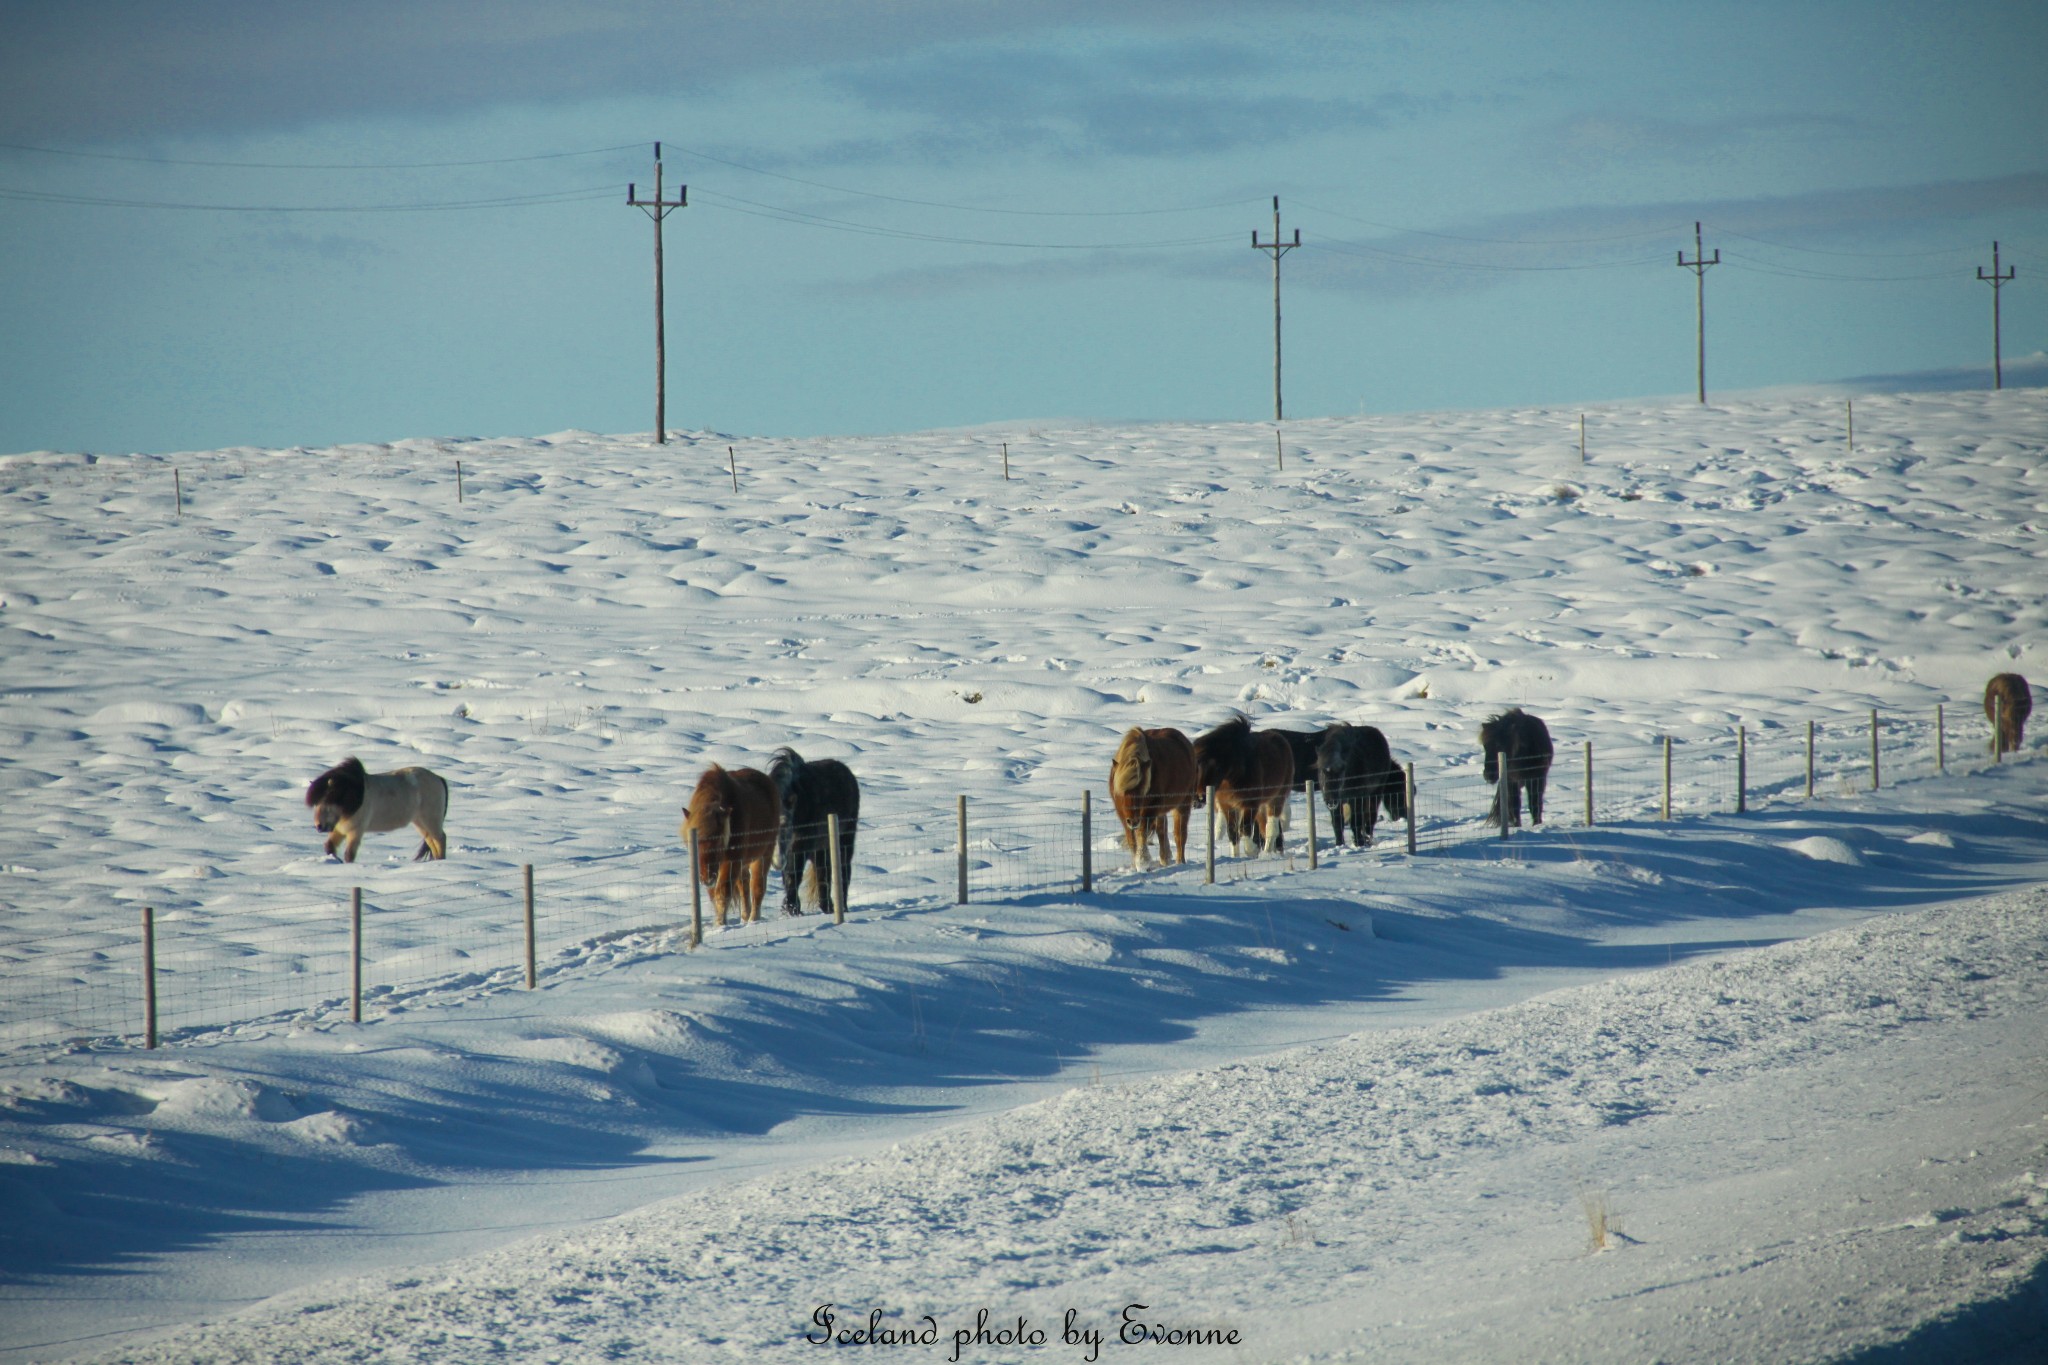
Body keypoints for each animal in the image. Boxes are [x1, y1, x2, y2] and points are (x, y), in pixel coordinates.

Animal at [303, 757, 448, 863]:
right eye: (316, 804)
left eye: (327, 801)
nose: (319, 826)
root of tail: (438, 778)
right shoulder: (340, 829)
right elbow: (329, 847)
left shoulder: (355, 831)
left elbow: (349, 854)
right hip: (420, 822)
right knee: (431, 841)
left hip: (430, 819)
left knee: (440, 839)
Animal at [688, 769, 782, 929]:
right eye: (695, 842)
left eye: (718, 841)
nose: (706, 879)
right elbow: (715, 894)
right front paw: (719, 923)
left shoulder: (730, 862)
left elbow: (723, 892)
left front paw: (721, 925)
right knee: (744, 888)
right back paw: (744, 918)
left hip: (763, 856)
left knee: (757, 887)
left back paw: (753, 920)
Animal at [770, 749, 864, 916]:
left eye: (785, 825)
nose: (778, 861)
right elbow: (789, 877)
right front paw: (791, 909)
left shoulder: (799, 847)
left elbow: (793, 875)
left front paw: (793, 909)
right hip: (822, 848)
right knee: (823, 874)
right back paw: (828, 907)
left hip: (844, 841)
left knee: (842, 871)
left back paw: (841, 908)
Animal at [1114, 732, 1204, 871]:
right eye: (1122, 793)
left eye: (1141, 791)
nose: (1199, 801)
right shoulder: (1124, 815)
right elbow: (1132, 839)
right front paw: (1136, 866)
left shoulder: (1149, 812)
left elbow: (1142, 833)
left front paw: (1143, 862)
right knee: (1163, 832)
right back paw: (1165, 859)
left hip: (1181, 805)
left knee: (1180, 835)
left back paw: (1180, 862)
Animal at [1187, 716, 1294, 855]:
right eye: (1195, 769)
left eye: (1214, 767)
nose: (1198, 799)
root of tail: (1282, 740)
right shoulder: (1228, 805)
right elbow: (1232, 832)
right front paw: (1236, 856)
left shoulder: (1250, 804)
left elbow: (1244, 829)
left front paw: (1252, 851)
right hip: (1262, 804)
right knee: (1265, 827)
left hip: (1276, 799)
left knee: (1271, 828)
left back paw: (1267, 853)